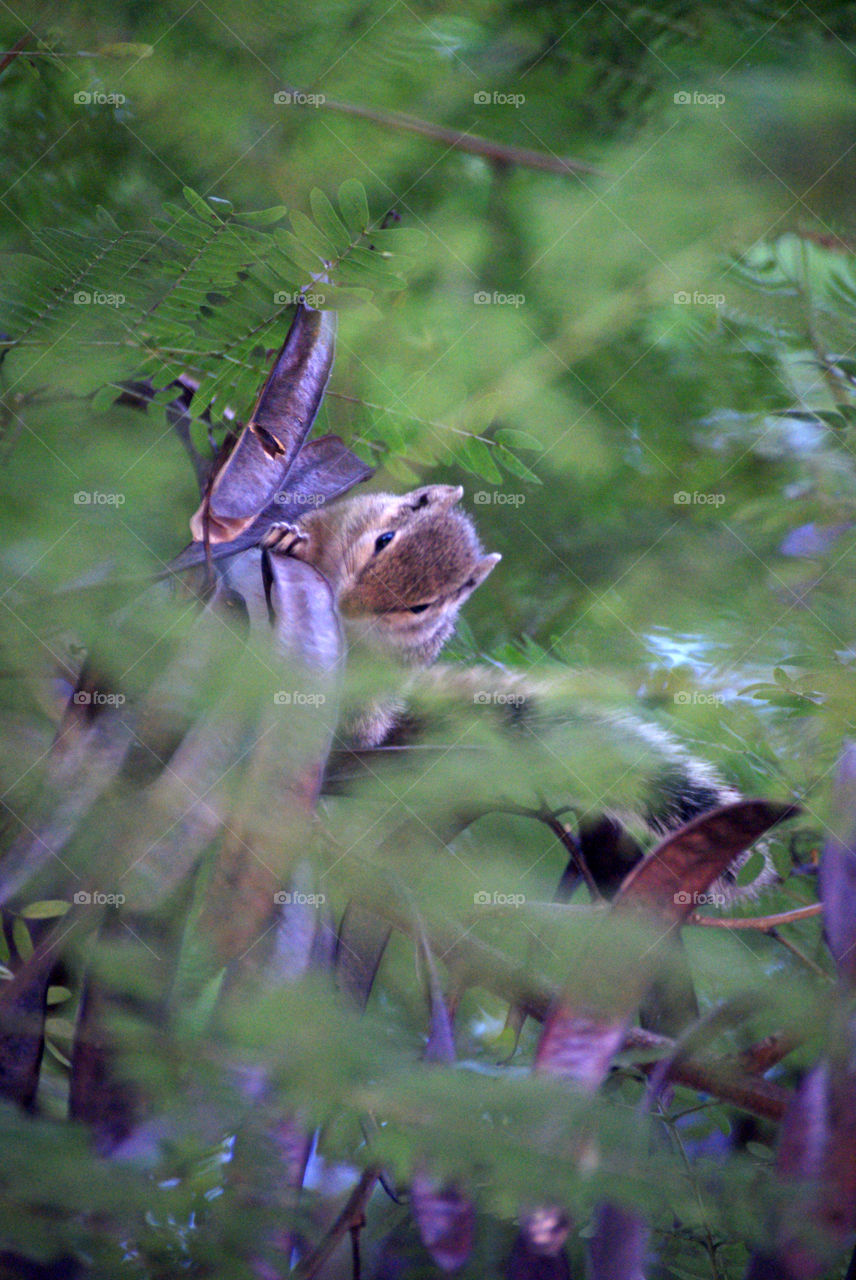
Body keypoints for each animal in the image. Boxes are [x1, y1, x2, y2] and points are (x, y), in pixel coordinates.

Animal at [261, 484, 775, 901]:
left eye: (421, 606)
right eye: (383, 540)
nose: (347, 607)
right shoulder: (346, 516)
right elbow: (314, 528)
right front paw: (289, 538)